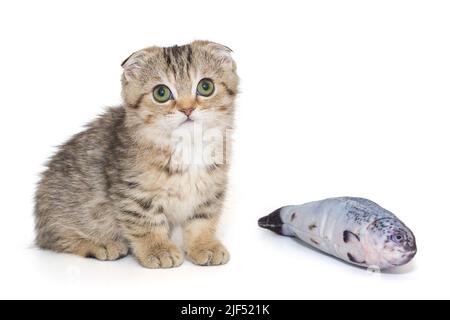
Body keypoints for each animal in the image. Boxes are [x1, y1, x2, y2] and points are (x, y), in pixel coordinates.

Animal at [34, 41, 239, 268]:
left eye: (205, 87)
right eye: (161, 93)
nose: (187, 109)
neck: (187, 145)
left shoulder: (210, 189)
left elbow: (202, 220)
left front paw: (204, 245)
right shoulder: (133, 191)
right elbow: (146, 222)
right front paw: (158, 249)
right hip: (63, 213)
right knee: (58, 238)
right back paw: (100, 244)